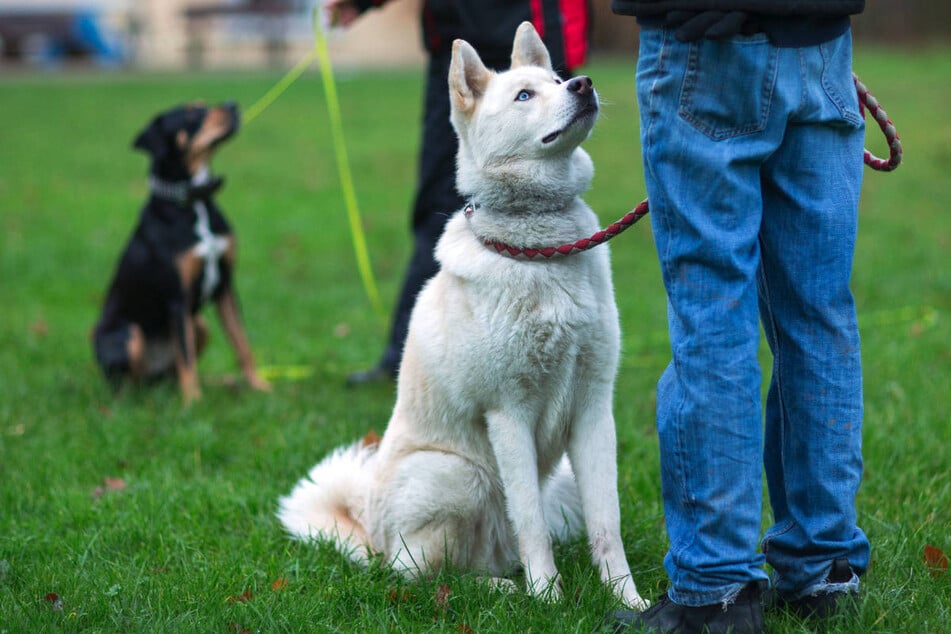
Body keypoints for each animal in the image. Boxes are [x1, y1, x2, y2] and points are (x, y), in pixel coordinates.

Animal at [93, 102, 270, 400]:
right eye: (190, 113)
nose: (233, 104)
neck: (193, 203)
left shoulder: (225, 288)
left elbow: (242, 343)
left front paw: (259, 385)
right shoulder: (177, 299)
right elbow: (186, 359)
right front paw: (194, 402)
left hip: (199, 324)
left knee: (170, 374)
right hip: (128, 334)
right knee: (127, 384)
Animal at [276, 22, 648, 608]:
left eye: (558, 80)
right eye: (524, 96)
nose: (584, 84)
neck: (542, 251)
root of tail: (370, 537)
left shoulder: (594, 410)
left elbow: (606, 525)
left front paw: (627, 603)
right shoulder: (508, 413)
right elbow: (530, 523)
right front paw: (549, 601)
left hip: (557, 480)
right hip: (458, 474)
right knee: (422, 573)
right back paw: (504, 589)